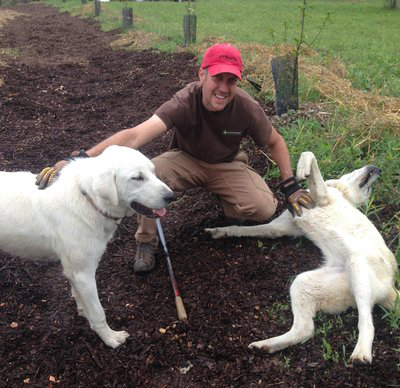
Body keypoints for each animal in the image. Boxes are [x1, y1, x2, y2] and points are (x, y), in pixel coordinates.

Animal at [0, 146, 174, 348]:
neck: (89, 200)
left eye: (153, 172)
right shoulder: (83, 274)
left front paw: (84, 312)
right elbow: (98, 312)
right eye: (137, 178)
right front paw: (110, 338)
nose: (171, 196)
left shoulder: (73, 272)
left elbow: (78, 296)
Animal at [208, 152, 398, 364]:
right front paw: (221, 231)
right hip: (303, 282)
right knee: (305, 330)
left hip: (358, 268)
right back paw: (265, 345)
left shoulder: (321, 196)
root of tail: (391, 286)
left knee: (366, 321)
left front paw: (301, 170)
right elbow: (244, 229)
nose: (378, 169)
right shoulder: (278, 227)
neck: (343, 194)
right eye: (369, 188)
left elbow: (309, 155)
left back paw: (361, 352)